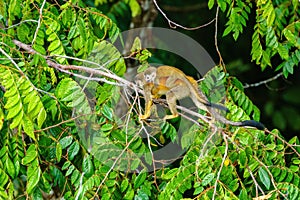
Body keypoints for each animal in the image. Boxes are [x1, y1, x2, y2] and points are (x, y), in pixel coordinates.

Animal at [136, 65, 264, 130]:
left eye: (147, 77)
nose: (147, 79)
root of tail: (185, 80)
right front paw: (155, 97)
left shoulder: (150, 83)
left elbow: (149, 97)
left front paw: (145, 115)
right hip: (187, 90)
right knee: (200, 103)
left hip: (180, 88)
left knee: (170, 93)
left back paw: (175, 114)